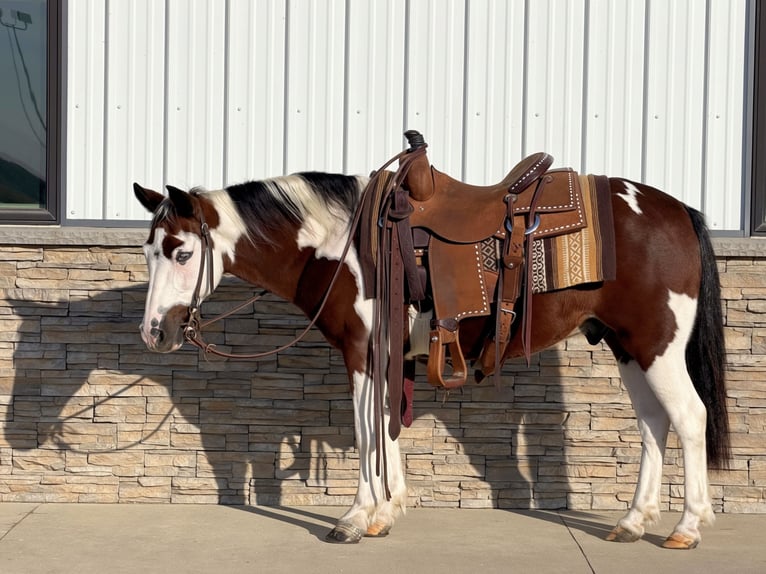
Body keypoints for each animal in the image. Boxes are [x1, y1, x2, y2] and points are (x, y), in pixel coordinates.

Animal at [133, 134, 729, 550]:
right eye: (148, 251)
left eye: (181, 252)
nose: (154, 333)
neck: (342, 243)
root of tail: (678, 210)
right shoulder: (387, 355)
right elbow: (386, 424)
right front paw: (387, 511)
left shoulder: (362, 350)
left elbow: (366, 429)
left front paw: (355, 518)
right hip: (629, 347)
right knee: (653, 424)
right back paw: (632, 522)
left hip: (657, 345)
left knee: (689, 418)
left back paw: (688, 527)